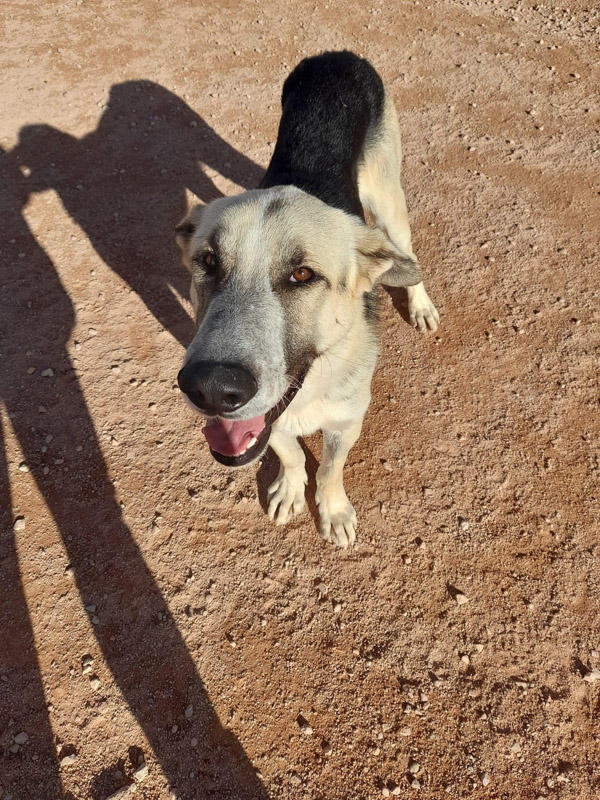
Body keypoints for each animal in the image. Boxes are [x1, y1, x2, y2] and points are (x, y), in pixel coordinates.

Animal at [176, 51, 439, 547]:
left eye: (302, 275)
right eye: (208, 261)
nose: (212, 390)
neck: (313, 387)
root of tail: (337, 55)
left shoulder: (347, 422)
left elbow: (331, 471)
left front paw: (332, 511)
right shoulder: (273, 419)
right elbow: (292, 454)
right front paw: (290, 489)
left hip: (389, 204)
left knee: (409, 257)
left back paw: (420, 305)